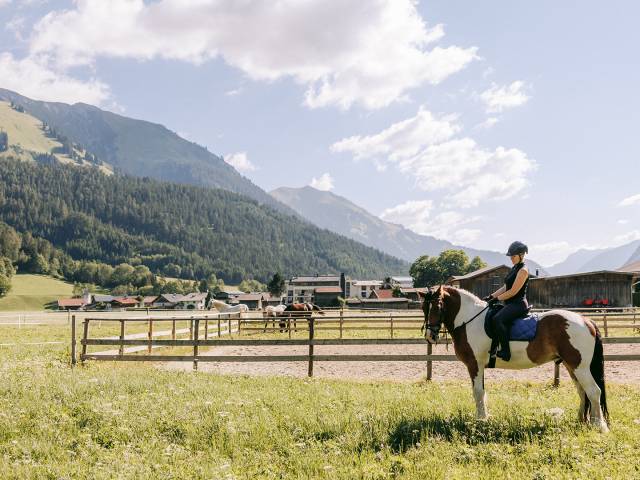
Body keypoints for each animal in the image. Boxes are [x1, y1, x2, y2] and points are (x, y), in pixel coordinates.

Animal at [419, 285, 609, 432]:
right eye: (424, 308)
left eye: (437, 306)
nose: (430, 336)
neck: (469, 320)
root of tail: (586, 321)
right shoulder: (479, 366)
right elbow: (482, 392)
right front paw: (485, 417)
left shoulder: (475, 364)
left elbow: (478, 392)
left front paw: (480, 420)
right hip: (572, 366)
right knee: (583, 392)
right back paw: (583, 421)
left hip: (580, 366)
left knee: (594, 391)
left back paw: (599, 426)